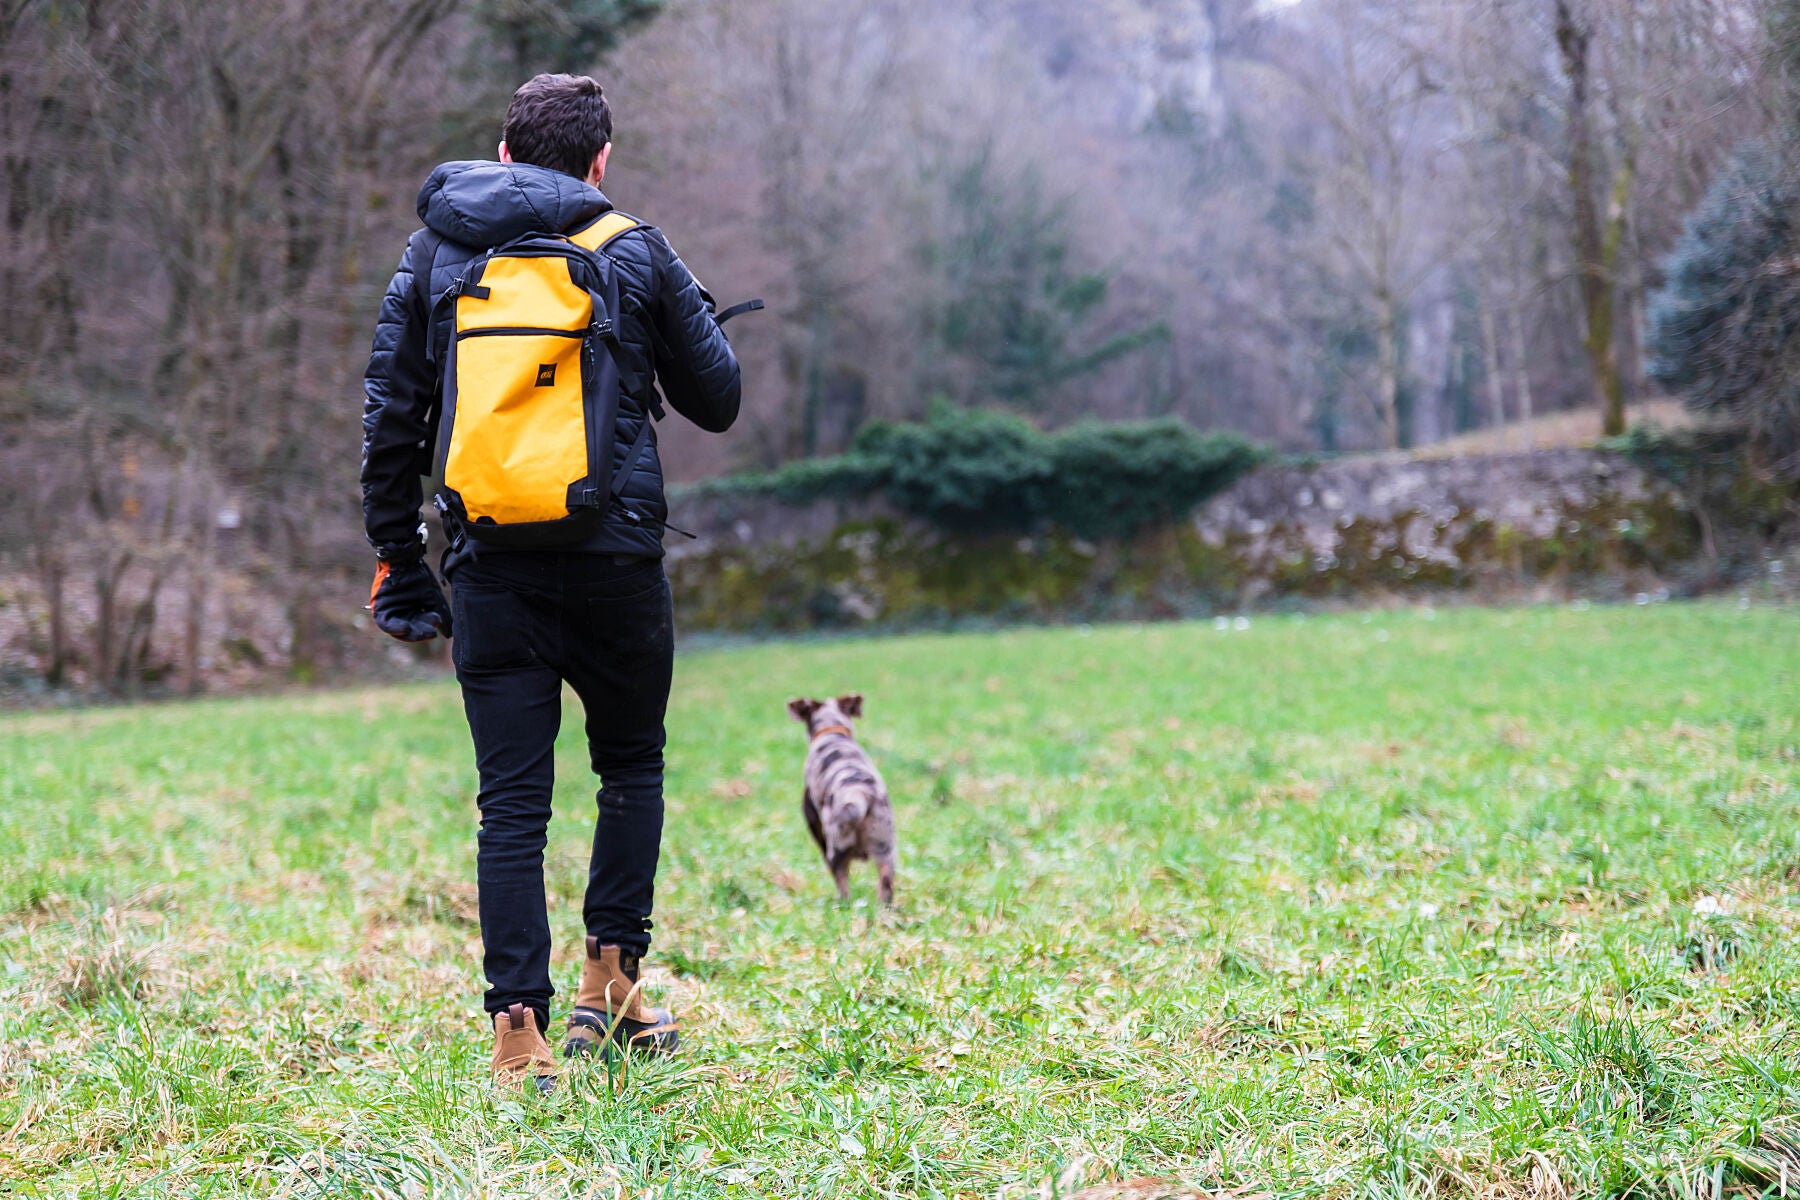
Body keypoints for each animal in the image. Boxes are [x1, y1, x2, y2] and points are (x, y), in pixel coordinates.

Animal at [792, 690, 896, 906]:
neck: (832, 730)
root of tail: (861, 794)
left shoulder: (811, 816)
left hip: (836, 850)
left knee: (842, 884)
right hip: (886, 849)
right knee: (885, 886)